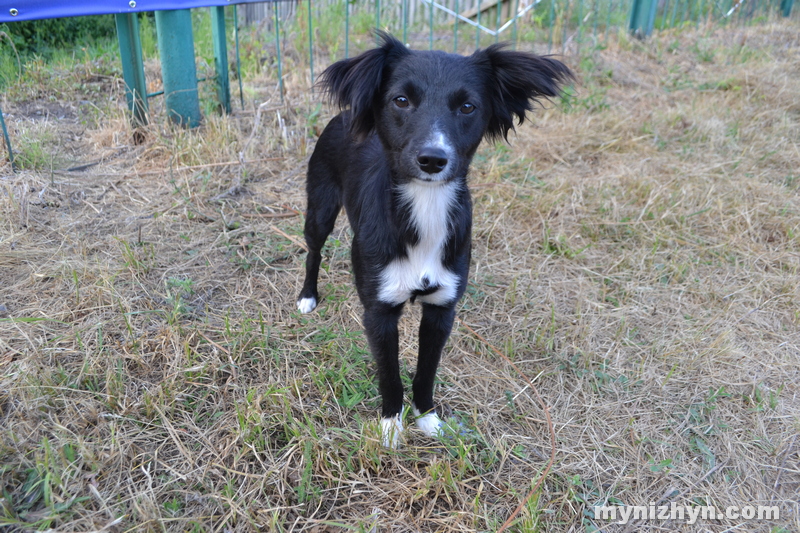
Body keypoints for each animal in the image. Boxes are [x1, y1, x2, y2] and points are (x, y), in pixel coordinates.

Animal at [296, 31, 572, 446]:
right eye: (401, 100)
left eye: (468, 106)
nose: (432, 159)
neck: (425, 206)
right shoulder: (379, 313)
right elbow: (390, 376)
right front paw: (391, 427)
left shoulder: (442, 309)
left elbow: (426, 371)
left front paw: (428, 419)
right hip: (320, 207)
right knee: (313, 251)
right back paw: (308, 296)